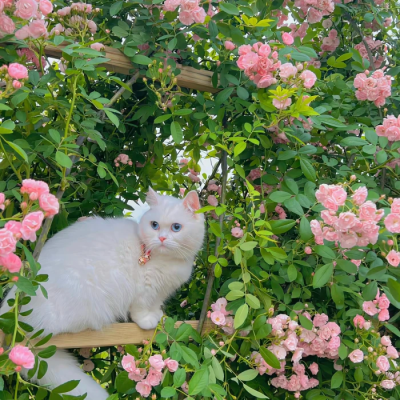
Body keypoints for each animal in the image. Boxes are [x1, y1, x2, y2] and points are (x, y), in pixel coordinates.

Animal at [0, 188, 205, 400]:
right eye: (154, 225)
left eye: (176, 227)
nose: (162, 238)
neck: (168, 261)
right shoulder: (144, 288)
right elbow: (140, 309)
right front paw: (147, 321)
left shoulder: (160, 292)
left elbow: (155, 304)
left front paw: (157, 315)